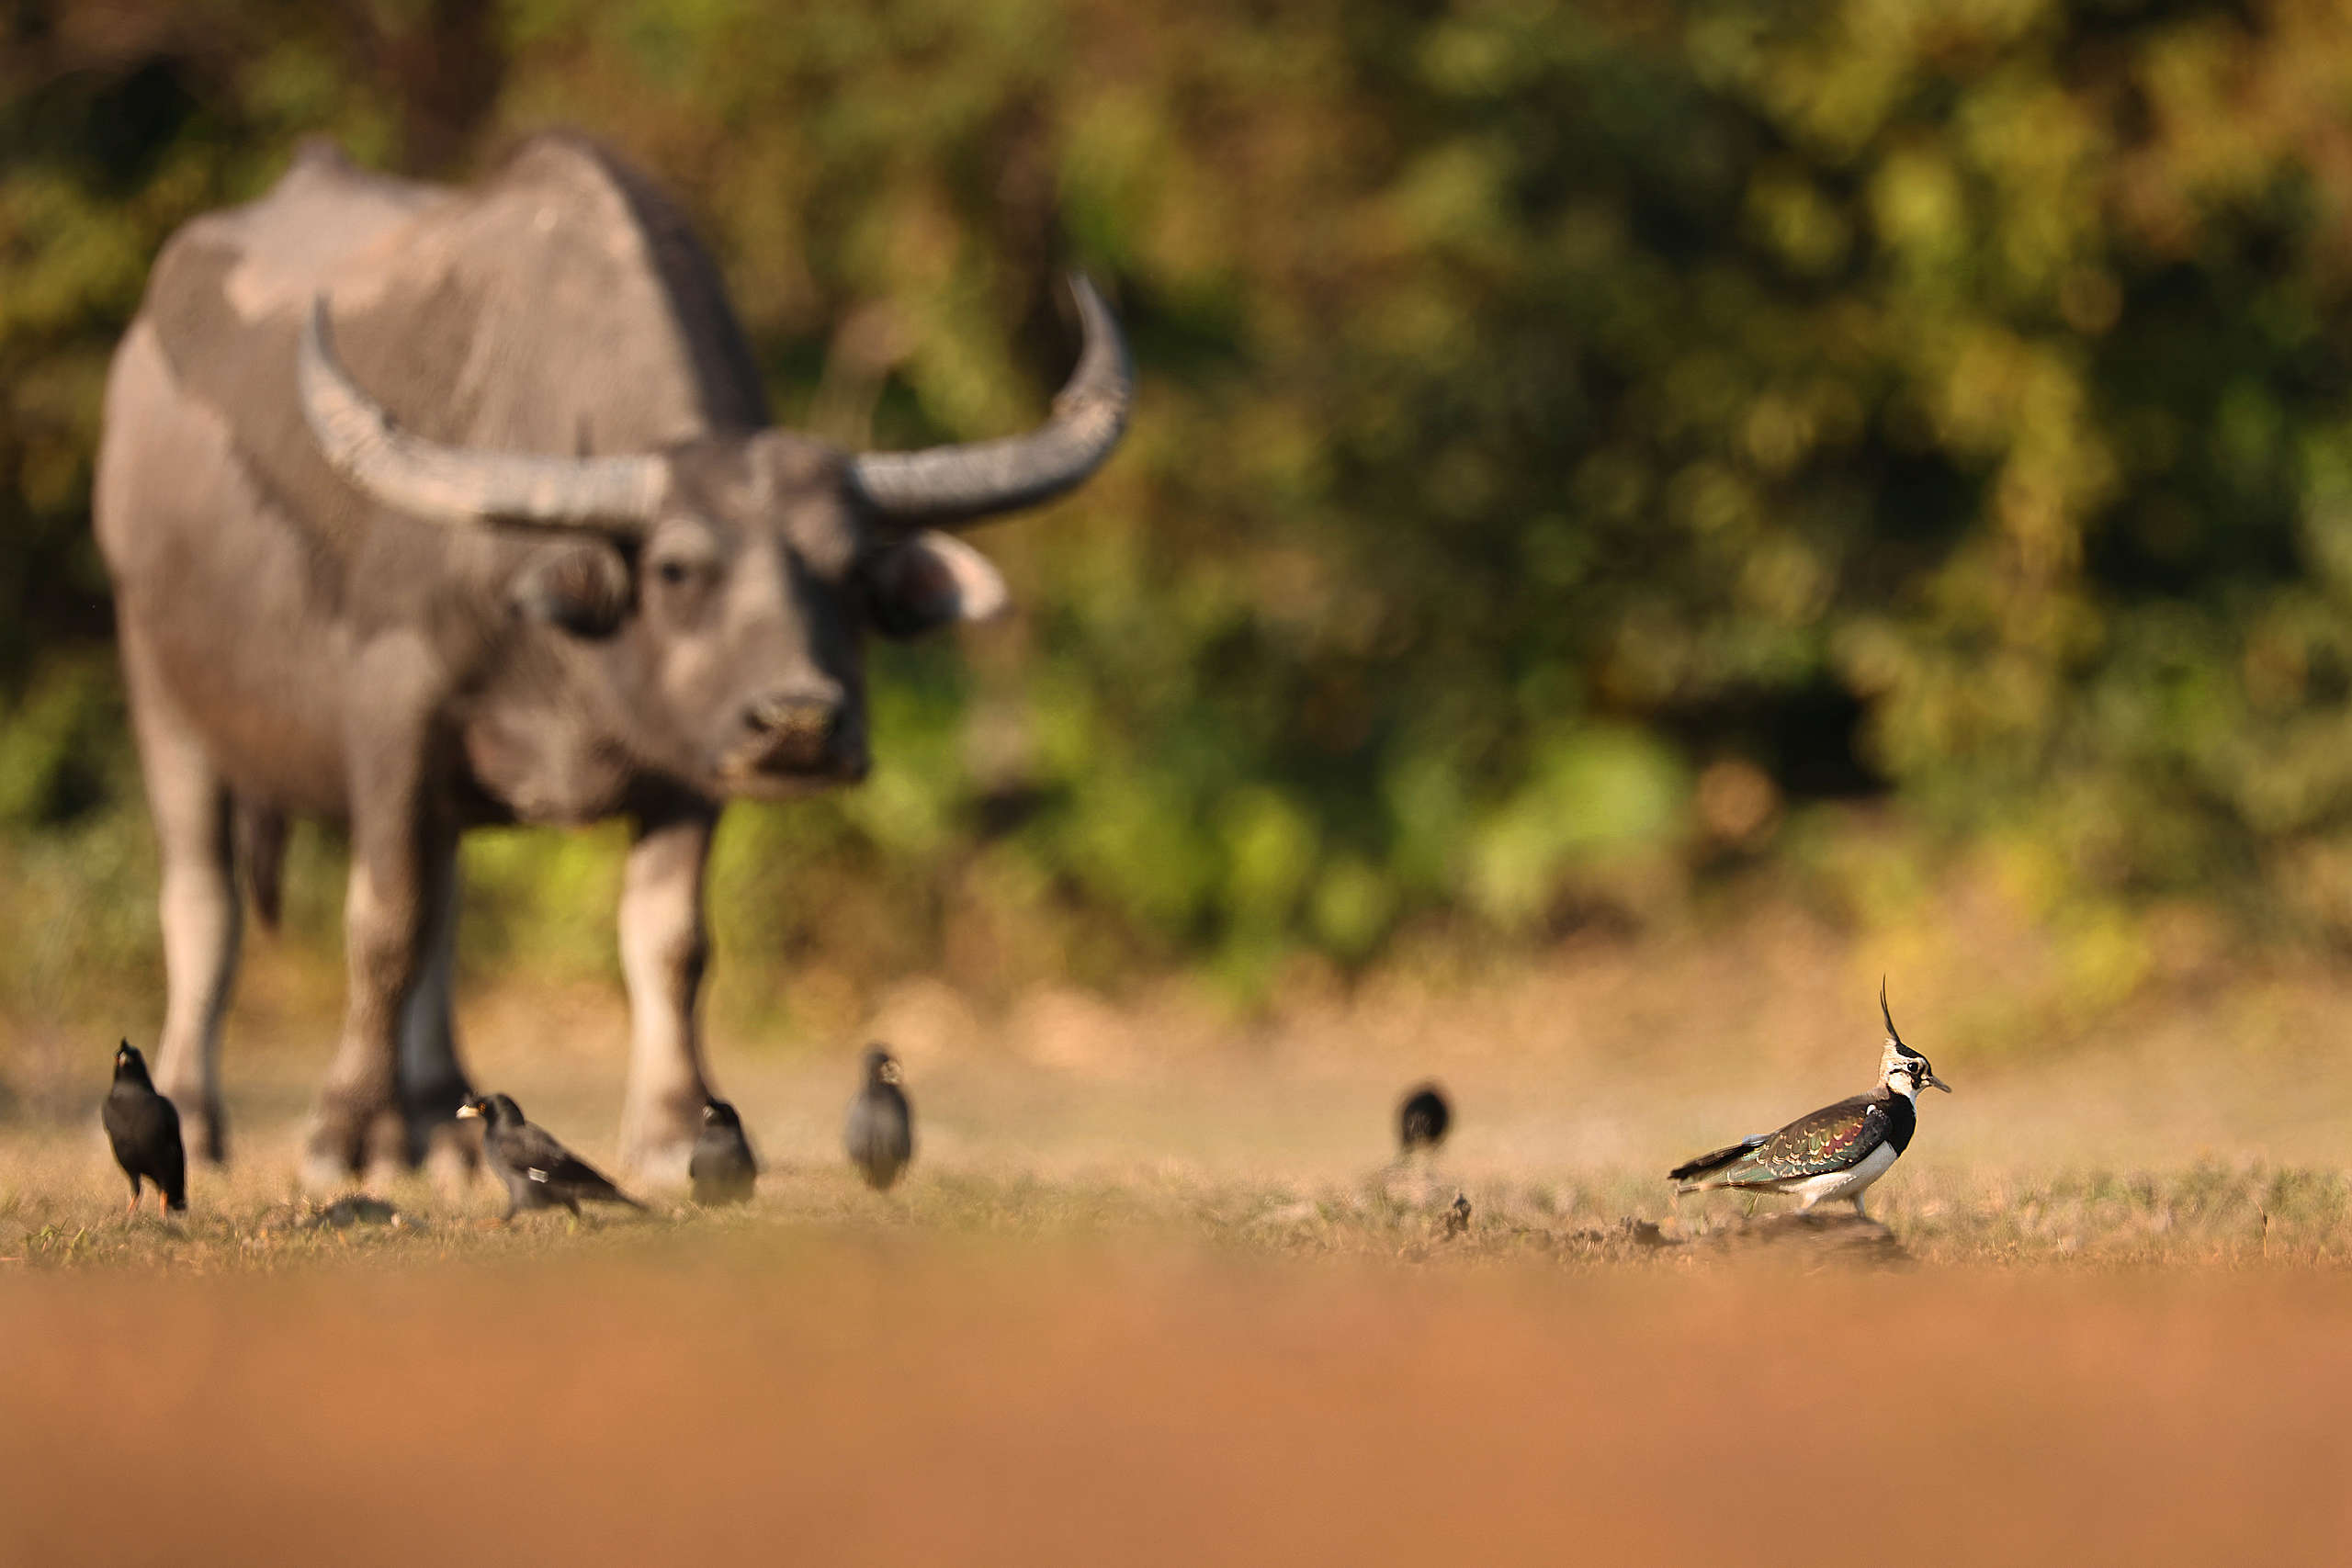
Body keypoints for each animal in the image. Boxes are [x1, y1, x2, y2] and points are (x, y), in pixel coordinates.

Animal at [86, 135, 1124, 1184]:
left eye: (850, 571)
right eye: (675, 567)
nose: (798, 723)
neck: (565, 663)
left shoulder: (689, 757)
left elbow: (668, 940)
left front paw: (671, 1130)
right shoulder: (391, 717)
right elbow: (381, 922)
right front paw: (346, 1135)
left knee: (445, 918)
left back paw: (441, 1118)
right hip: (159, 687)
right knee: (205, 904)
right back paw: (206, 1116)